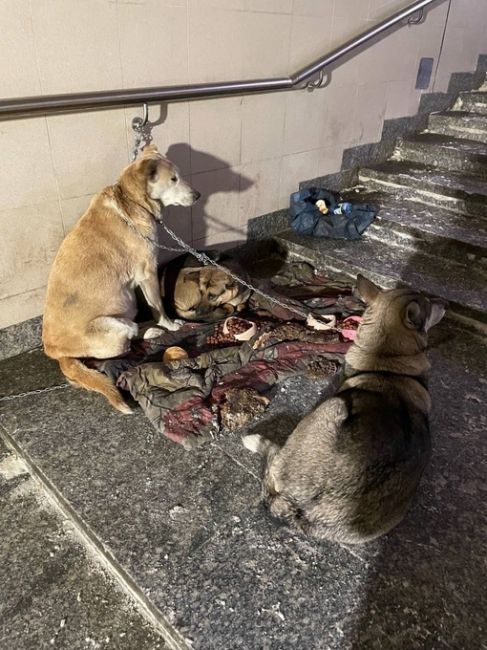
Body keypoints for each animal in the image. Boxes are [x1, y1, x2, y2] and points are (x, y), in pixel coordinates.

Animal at [42, 145, 200, 412]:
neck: (131, 200)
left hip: (126, 307)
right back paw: (153, 332)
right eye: (173, 179)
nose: (197, 195)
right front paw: (169, 325)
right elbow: (158, 306)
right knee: (118, 347)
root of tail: (59, 355)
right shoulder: (147, 272)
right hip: (115, 327)